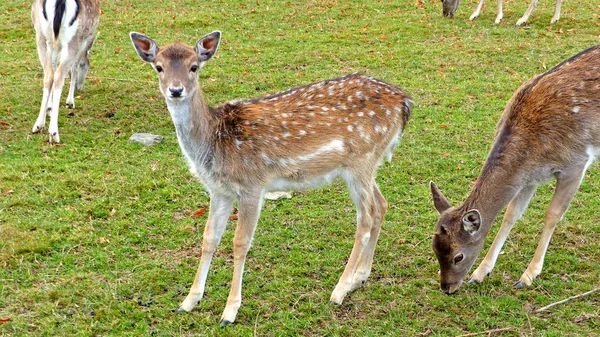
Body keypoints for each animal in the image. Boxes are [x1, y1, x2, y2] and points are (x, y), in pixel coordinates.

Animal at [428, 44, 600, 292]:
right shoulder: (529, 178)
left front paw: (528, 276)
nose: (447, 288)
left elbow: (552, 215)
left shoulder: (575, 164)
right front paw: (480, 273)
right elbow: (511, 215)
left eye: (458, 256)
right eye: (434, 247)